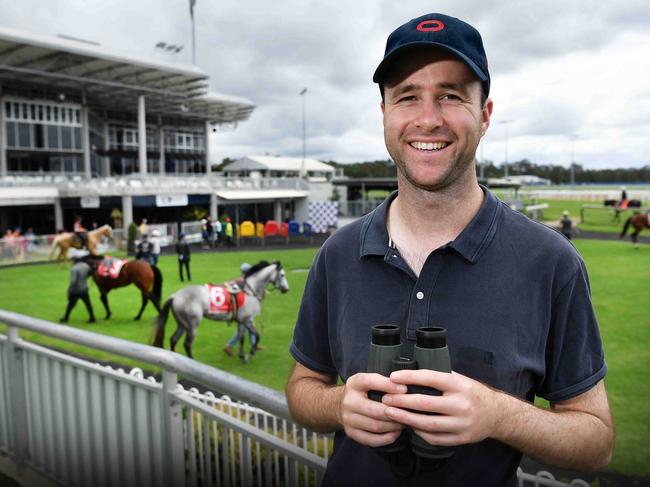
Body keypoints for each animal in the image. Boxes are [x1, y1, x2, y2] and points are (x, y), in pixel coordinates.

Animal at [152, 264, 286, 362]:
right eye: (282, 275)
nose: (286, 289)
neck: (249, 290)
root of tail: (175, 296)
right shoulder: (248, 320)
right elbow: (257, 336)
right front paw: (249, 354)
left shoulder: (241, 321)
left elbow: (241, 338)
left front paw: (242, 355)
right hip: (192, 325)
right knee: (187, 344)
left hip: (182, 324)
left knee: (173, 340)